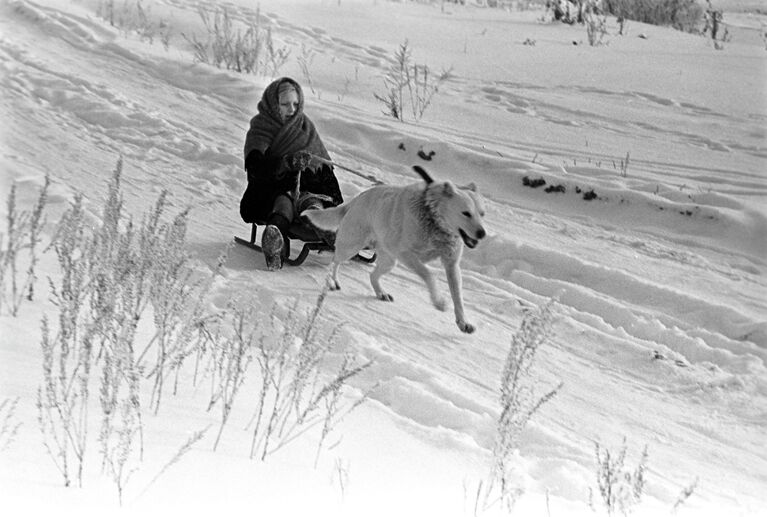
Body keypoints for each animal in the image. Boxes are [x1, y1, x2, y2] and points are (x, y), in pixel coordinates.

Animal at [304, 165, 488, 334]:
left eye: (482, 214)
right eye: (466, 213)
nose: (482, 233)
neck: (433, 217)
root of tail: (356, 200)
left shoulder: (451, 265)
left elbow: (458, 297)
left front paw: (463, 322)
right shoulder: (407, 255)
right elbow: (429, 275)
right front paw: (439, 302)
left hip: (389, 261)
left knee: (372, 276)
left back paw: (381, 293)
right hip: (351, 247)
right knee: (334, 261)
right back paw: (333, 281)